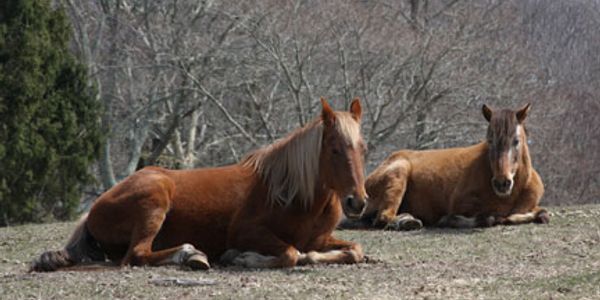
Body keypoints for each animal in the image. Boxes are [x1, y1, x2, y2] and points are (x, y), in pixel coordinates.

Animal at [338, 103, 548, 230]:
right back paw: (408, 222)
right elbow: (483, 218)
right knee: (384, 217)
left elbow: (541, 213)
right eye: (490, 140)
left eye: (516, 141)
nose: (502, 183)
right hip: (399, 172)